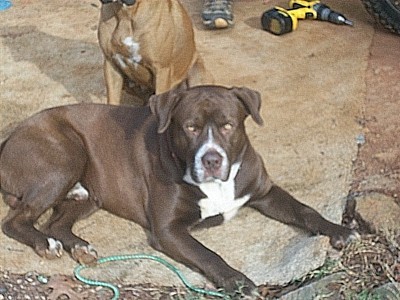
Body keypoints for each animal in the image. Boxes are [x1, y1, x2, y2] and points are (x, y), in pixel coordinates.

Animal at [0, 85, 356, 296]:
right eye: (190, 127)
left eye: (228, 125)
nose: (212, 159)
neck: (216, 184)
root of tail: (10, 137)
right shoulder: (169, 229)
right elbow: (208, 254)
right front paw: (238, 282)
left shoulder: (264, 192)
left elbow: (304, 209)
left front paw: (339, 230)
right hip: (64, 158)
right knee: (15, 222)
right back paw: (46, 244)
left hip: (89, 193)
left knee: (56, 221)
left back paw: (79, 247)